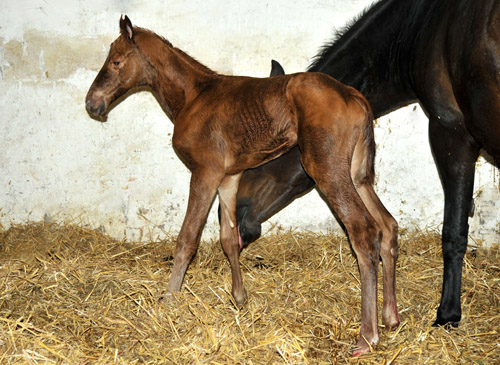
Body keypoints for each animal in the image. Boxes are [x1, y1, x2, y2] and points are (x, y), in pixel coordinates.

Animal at [85, 15, 398, 354]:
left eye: (116, 62)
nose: (92, 103)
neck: (194, 95)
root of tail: (356, 97)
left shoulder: (205, 172)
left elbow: (187, 240)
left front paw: (169, 300)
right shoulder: (228, 177)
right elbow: (228, 238)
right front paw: (239, 298)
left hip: (328, 171)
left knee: (363, 232)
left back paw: (367, 336)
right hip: (358, 176)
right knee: (387, 226)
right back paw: (390, 317)